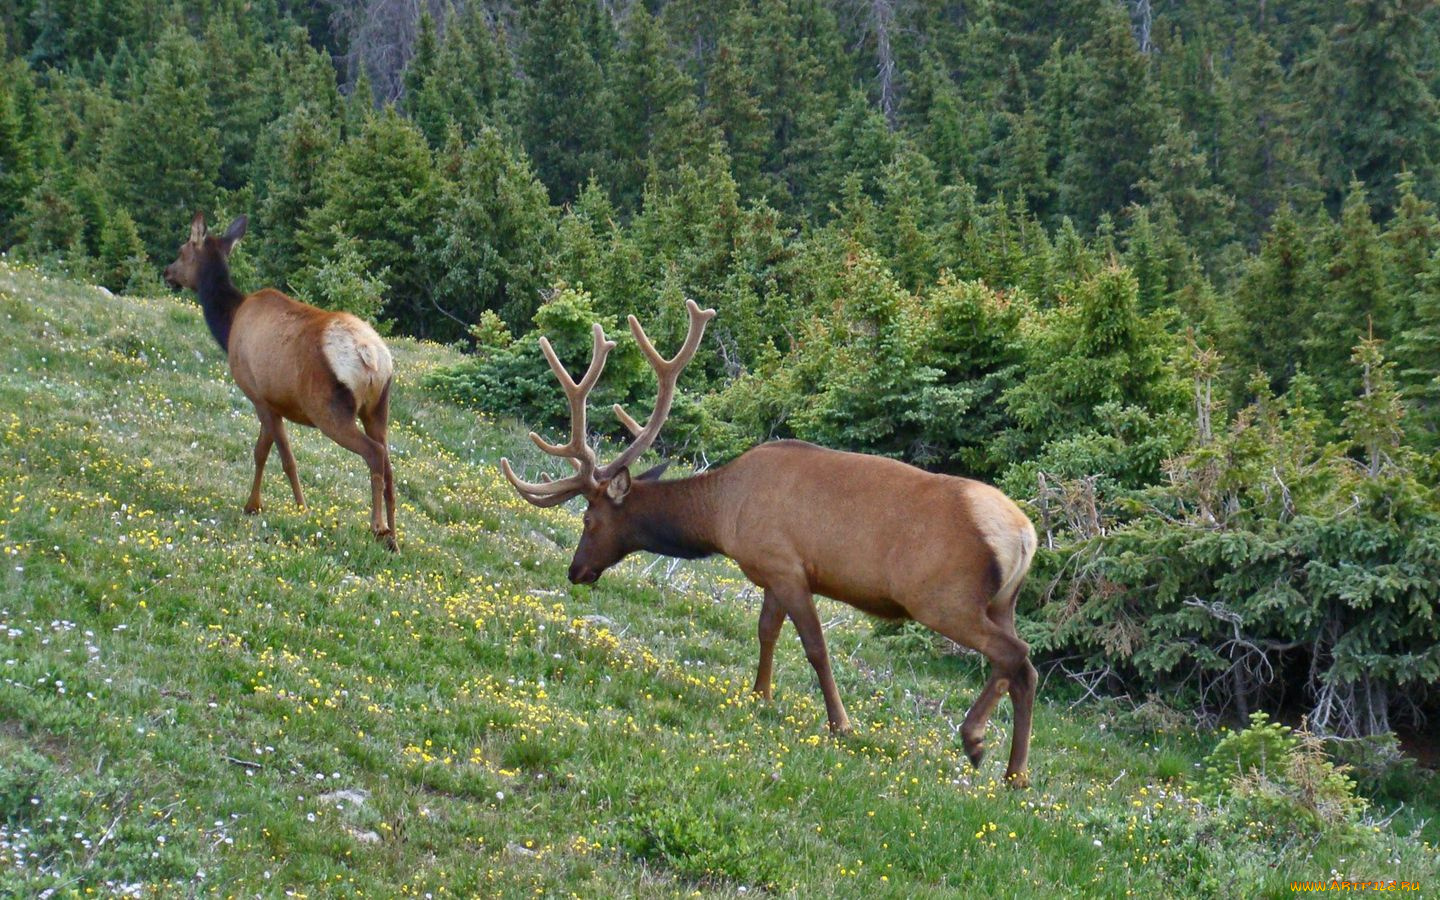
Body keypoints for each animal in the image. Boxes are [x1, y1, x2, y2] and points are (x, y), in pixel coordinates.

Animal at [165, 211, 397, 547]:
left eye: (182, 250)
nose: (167, 272)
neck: (228, 326)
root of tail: (371, 357)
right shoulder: (272, 400)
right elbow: (265, 451)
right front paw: (257, 504)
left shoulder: (257, 393)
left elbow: (279, 456)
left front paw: (292, 507)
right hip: (378, 408)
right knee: (390, 463)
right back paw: (394, 537)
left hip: (328, 409)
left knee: (374, 454)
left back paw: (377, 526)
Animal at [501, 302, 1042, 783]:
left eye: (589, 518)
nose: (576, 571)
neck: (723, 516)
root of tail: (1024, 533)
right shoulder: (769, 572)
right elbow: (766, 632)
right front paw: (759, 695)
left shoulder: (787, 566)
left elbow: (816, 648)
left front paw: (841, 723)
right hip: (1001, 601)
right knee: (1024, 667)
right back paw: (1016, 773)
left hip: (943, 598)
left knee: (1014, 654)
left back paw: (974, 740)